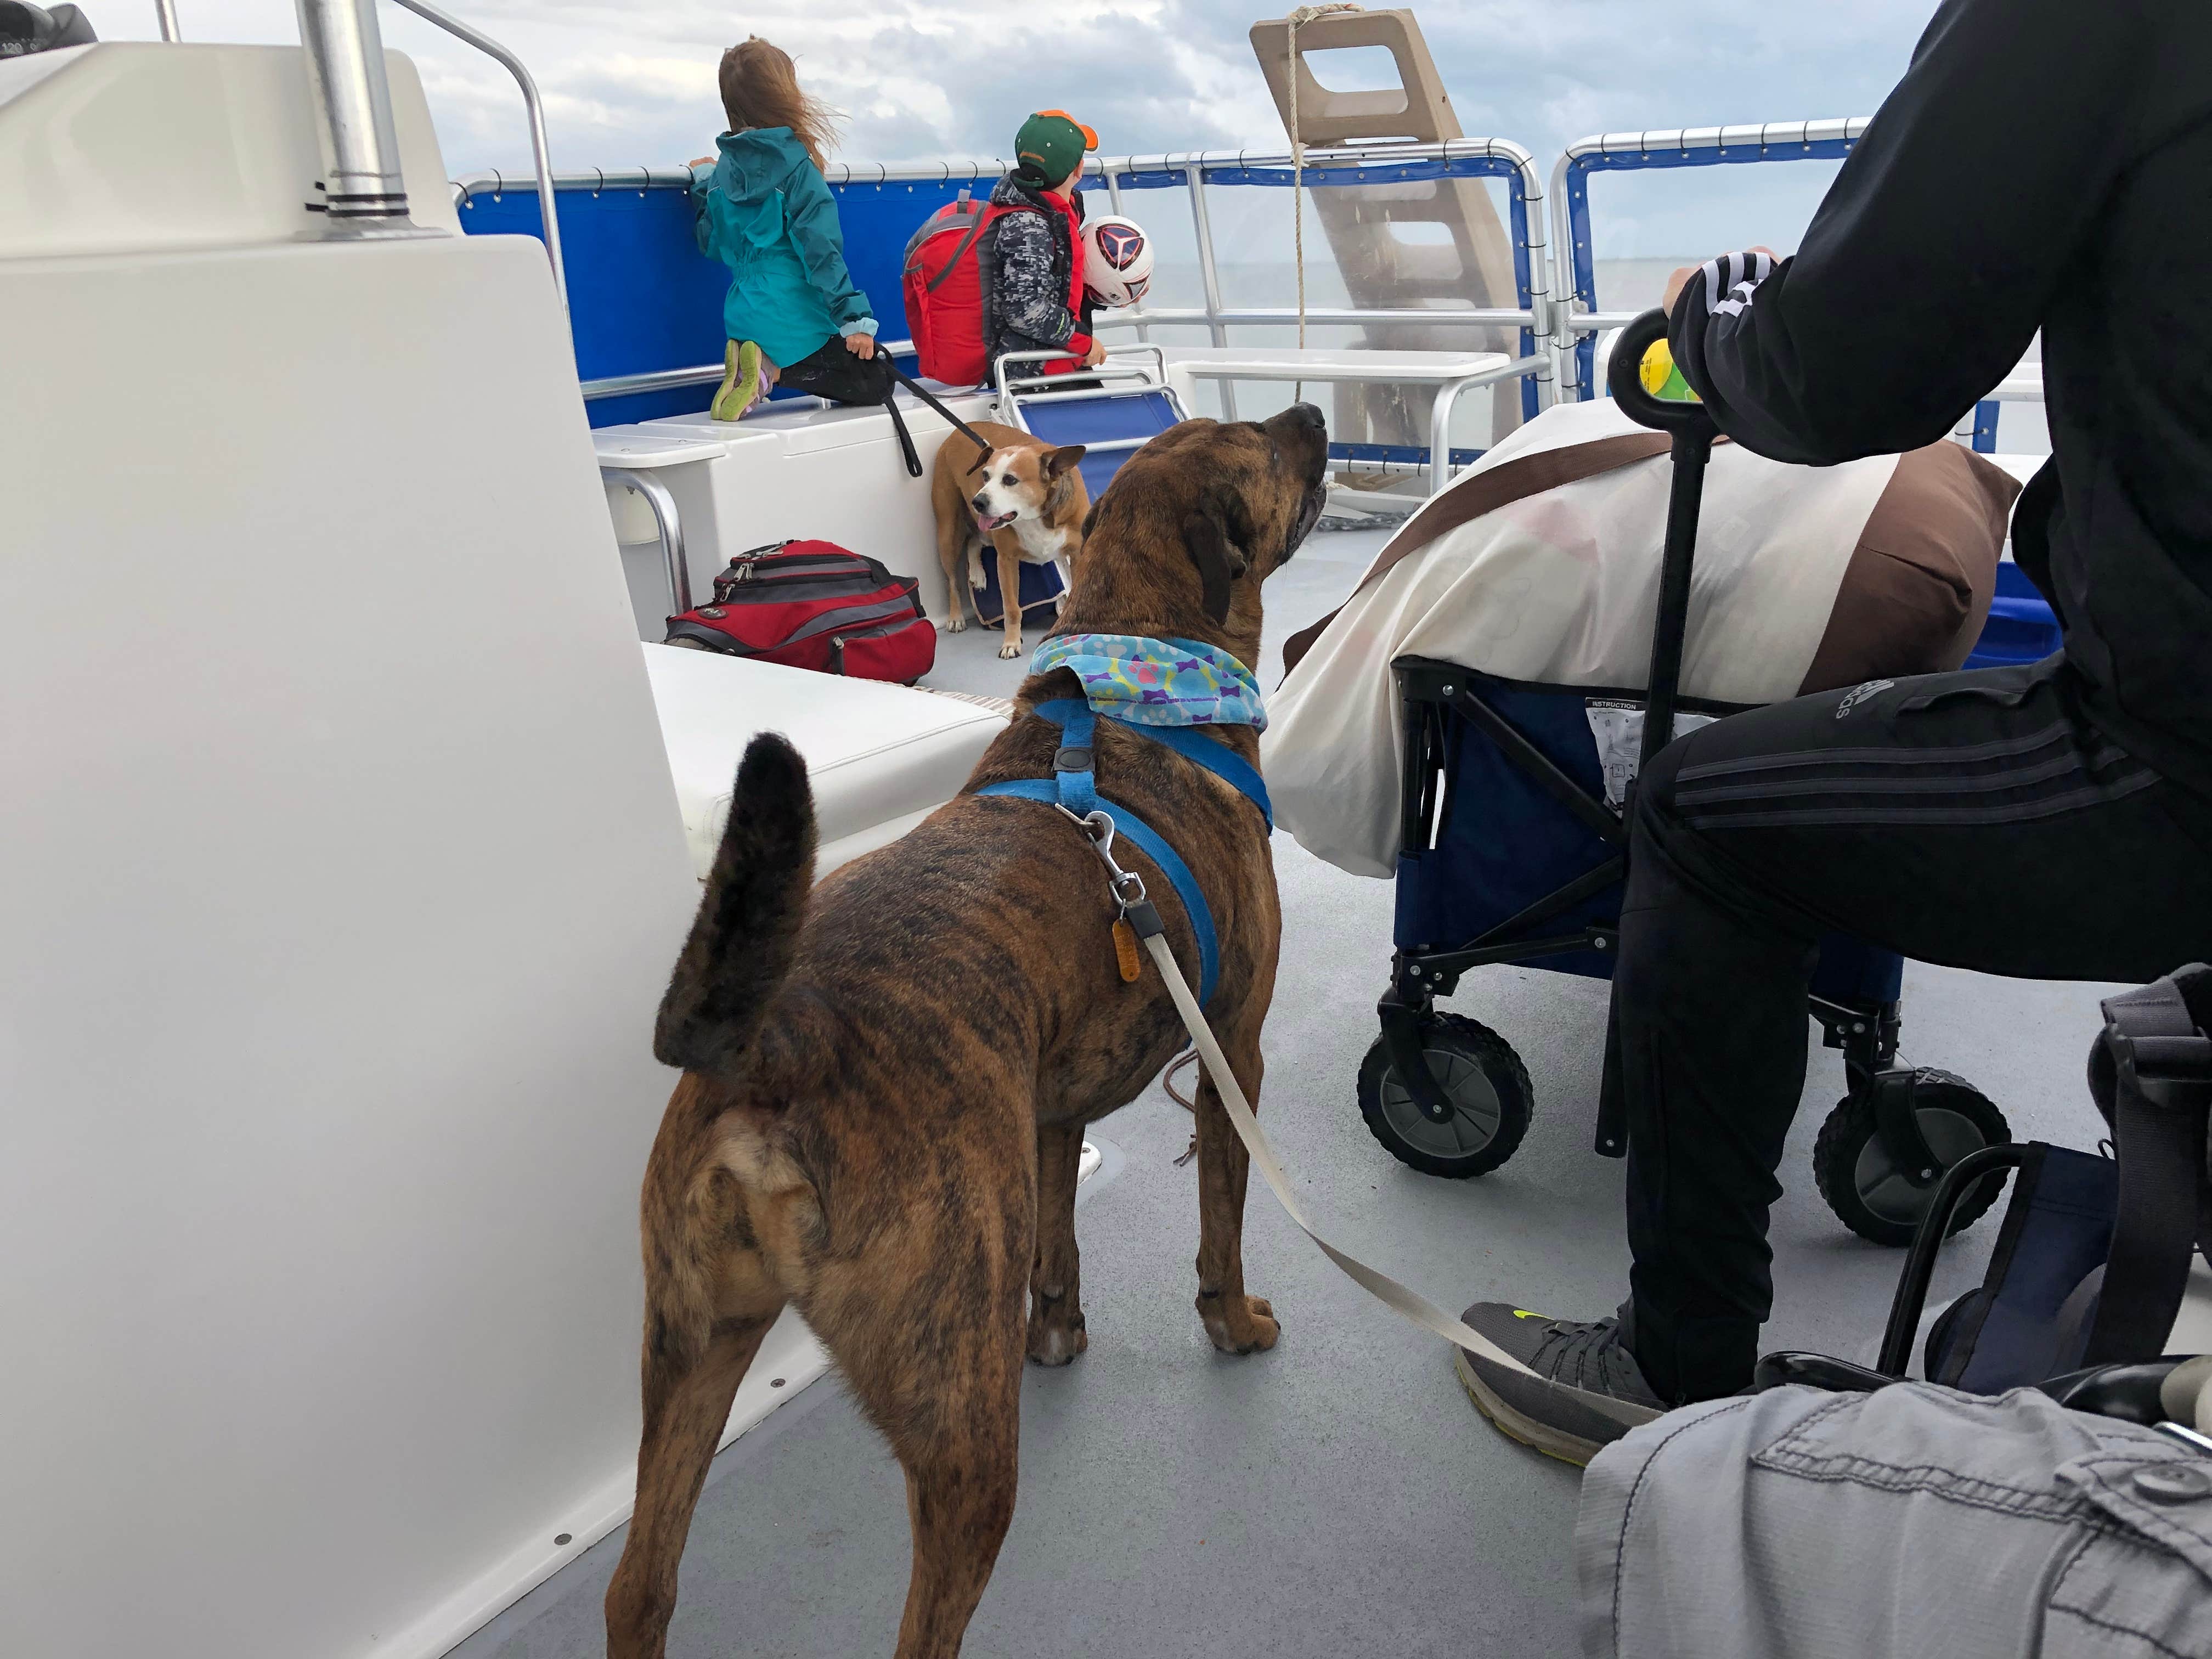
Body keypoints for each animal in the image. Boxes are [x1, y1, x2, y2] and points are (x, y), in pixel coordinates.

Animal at [606, 407, 1327, 1659]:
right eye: (1263, 450)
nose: (1315, 416)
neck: (1139, 664)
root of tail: (781, 1043)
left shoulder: (1050, 1105)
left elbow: (1060, 1246)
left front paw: (1062, 1330)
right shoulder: (1233, 1048)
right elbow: (1222, 1227)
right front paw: (1233, 1323)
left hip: (688, 1343)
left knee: (639, 1586)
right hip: (961, 1428)